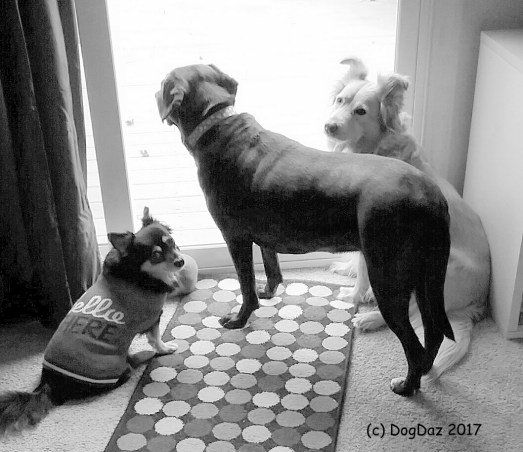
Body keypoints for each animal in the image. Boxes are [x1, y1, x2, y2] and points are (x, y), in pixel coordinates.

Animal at [0, 207, 188, 434]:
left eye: (172, 242)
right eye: (156, 256)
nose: (180, 262)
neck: (138, 272)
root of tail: (49, 383)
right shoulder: (152, 319)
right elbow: (156, 339)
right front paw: (165, 348)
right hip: (115, 367)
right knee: (129, 365)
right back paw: (142, 355)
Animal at [155, 63, 455, 396]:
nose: (155, 92)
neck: (219, 124)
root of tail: (432, 196)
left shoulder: (235, 237)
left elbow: (246, 286)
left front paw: (239, 318)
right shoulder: (265, 234)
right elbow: (271, 269)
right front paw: (268, 292)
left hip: (389, 276)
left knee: (413, 343)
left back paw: (407, 385)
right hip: (426, 276)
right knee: (434, 330)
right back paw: (423, 371)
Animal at [324, 57, 491, 380]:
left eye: (361, 111)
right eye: (340, 100)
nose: (329, 126)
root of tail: (478, 301)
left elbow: (363, 272)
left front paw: (354, 296)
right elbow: (357, 264)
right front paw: (345, 270)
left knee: (411, 315)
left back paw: (370, 319)